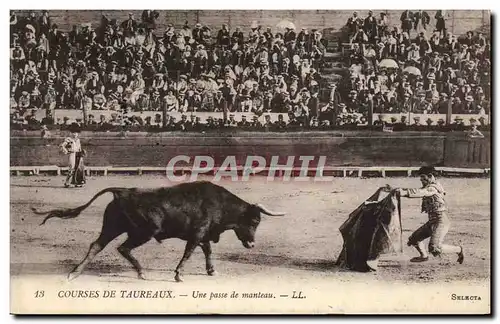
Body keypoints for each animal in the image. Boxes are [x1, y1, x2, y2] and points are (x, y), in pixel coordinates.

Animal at [32, 181, 286, 282]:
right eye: (255, 220)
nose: (252, 244)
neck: (220, 204)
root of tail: (123, 191)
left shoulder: (203, 235)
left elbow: (208, 251)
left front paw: (211, 271)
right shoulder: (197, 234)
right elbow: (189, 253)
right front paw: (179, 274)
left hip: (112, 227)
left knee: (96, 246)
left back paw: (74, 273)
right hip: (144, 231)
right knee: (123, 248)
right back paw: (141, 272)